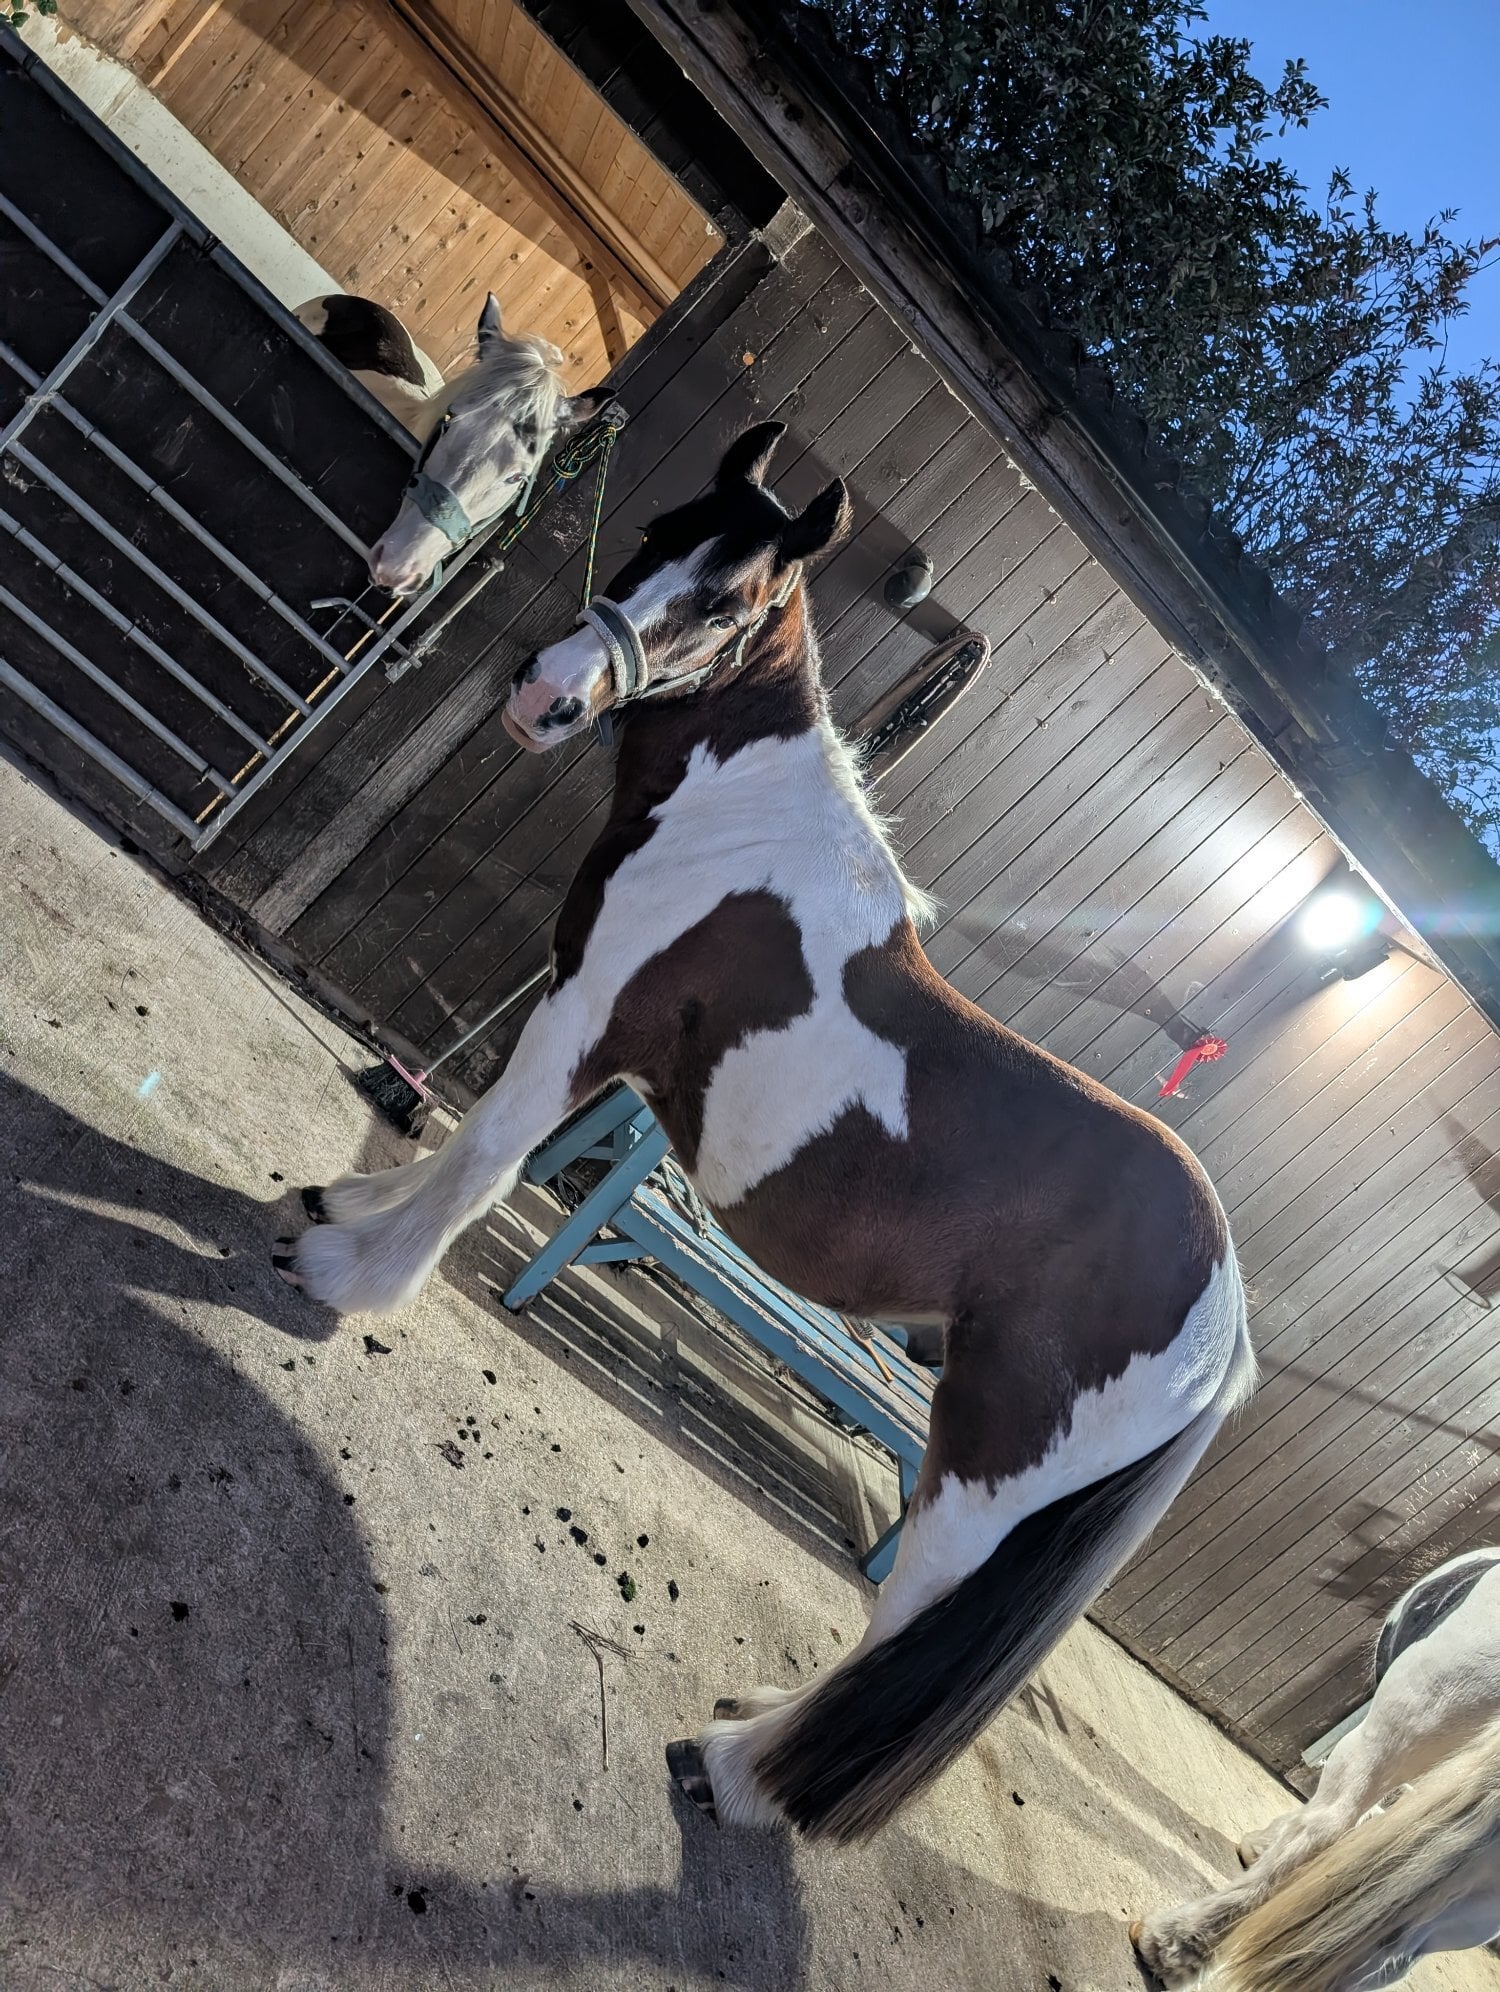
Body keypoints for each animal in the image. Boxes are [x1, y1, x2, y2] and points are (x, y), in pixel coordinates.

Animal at [271, 419, 1255, 1840]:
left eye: (728, 603)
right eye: (652, 534)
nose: (544, 693)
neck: (737, 827)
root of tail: (1226, 1326)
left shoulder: (591, 1018)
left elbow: (487, 1154)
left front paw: (348, 1275)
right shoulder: (575, 1004)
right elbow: (474, 1141)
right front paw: (351, 1213)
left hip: (980, 1484)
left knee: (898, 1628)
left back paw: (737, 1772)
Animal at [1131, 1546, 1500, 1988]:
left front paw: (1260, 1845)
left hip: (1391, 1736)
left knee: (1323, 1826)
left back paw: (1172, 1944)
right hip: (1472, 1904)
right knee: (1389, 1952)